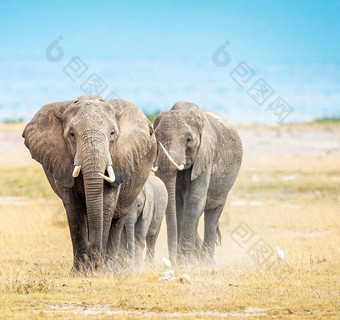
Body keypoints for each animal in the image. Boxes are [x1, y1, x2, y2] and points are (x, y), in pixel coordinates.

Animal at [22, 94, 157, 272]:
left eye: (112, 133)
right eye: (72, 134)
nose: (96, 263)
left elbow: (106, 205)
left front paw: (100, 270)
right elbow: (75, 211)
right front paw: (80, 272)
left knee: (118, 217)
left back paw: (112, 267)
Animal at [153, 101, 243, 264]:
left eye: (189, 139)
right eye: (155, 138)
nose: (171, 260)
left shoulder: (206, 155)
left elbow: (194, 200)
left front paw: (184, 263)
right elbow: (177, 203)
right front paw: (184, 262)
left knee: (212, 216)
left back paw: (207, 262)